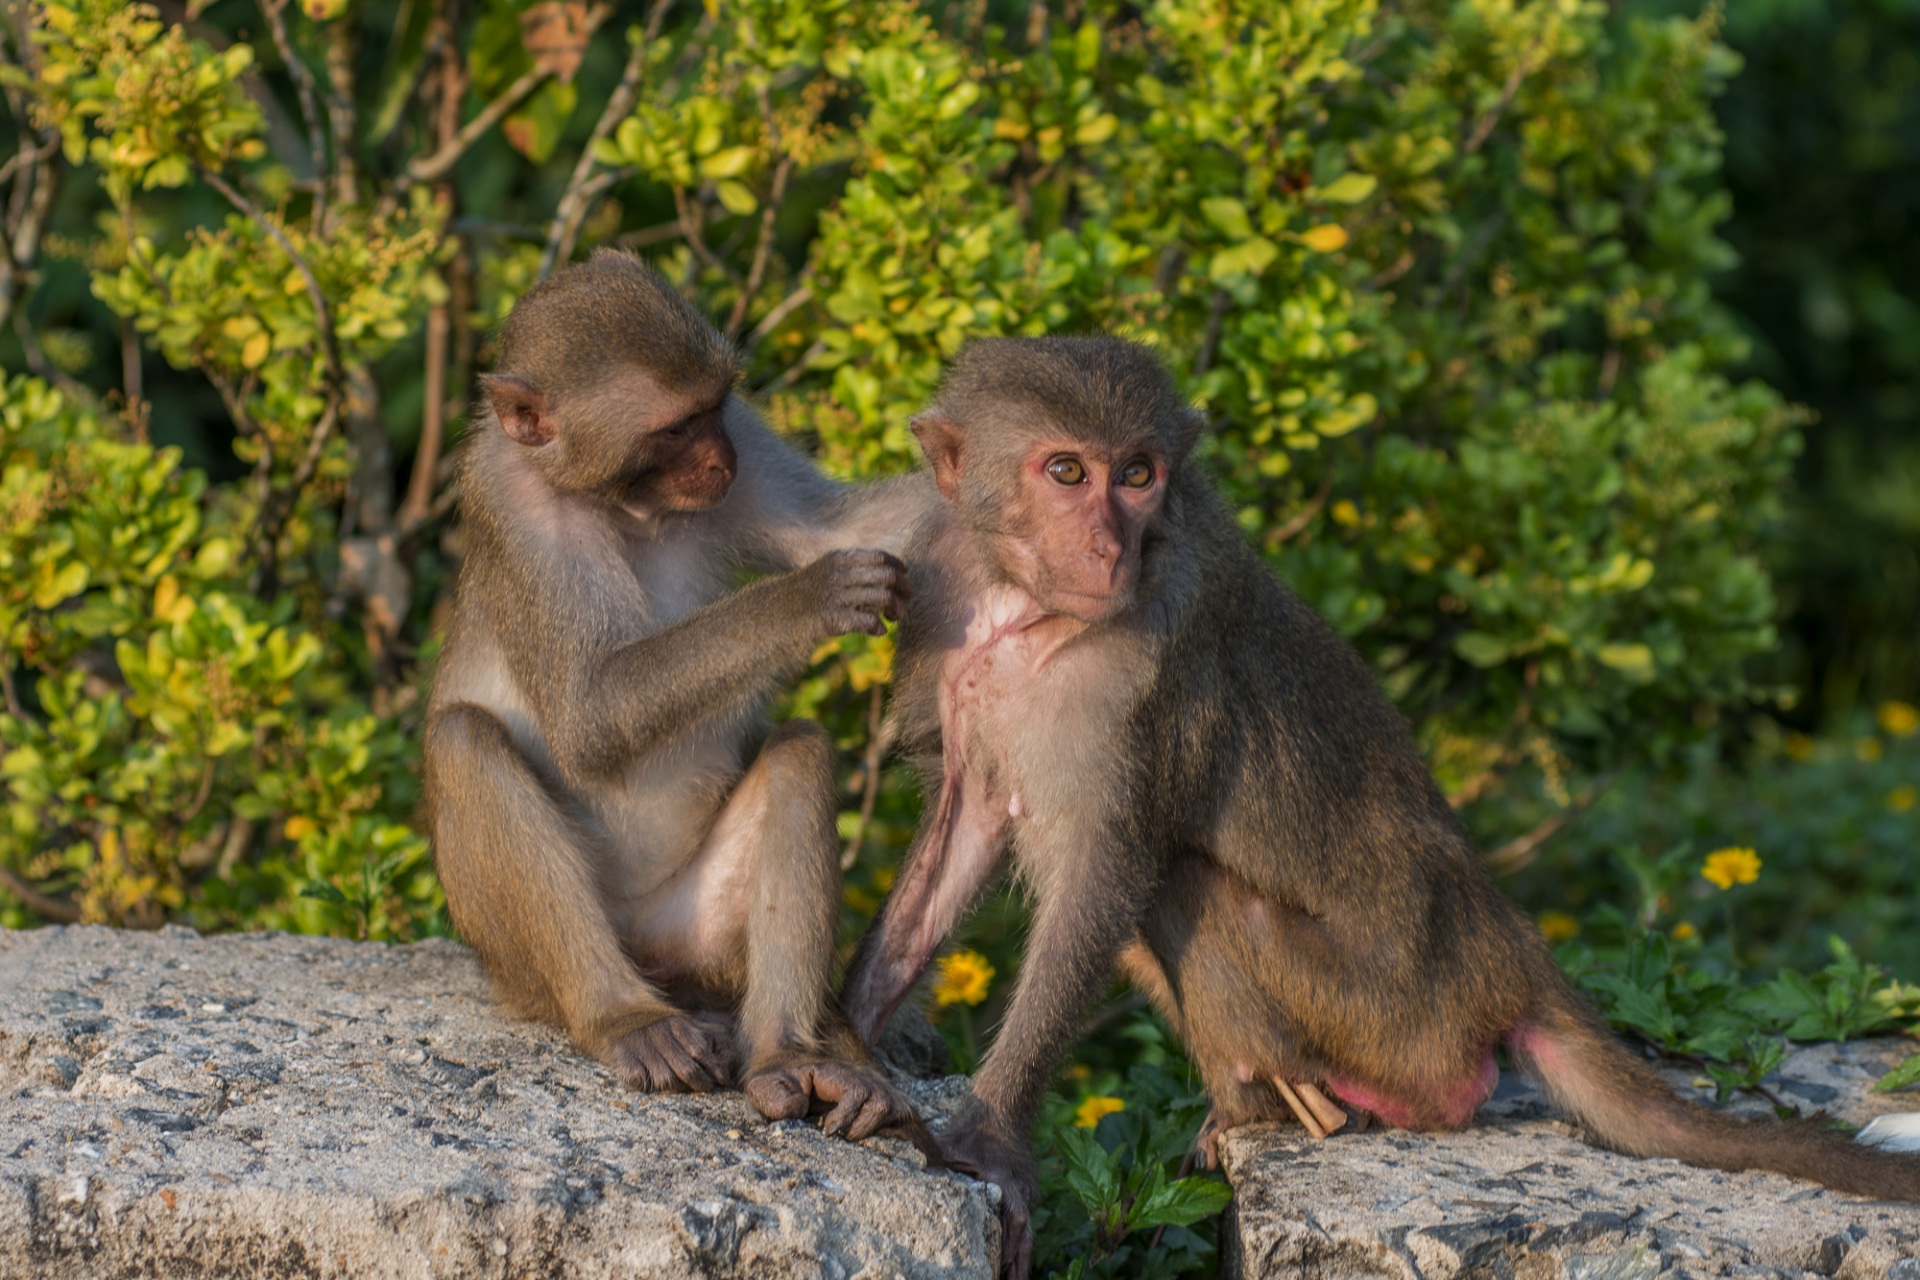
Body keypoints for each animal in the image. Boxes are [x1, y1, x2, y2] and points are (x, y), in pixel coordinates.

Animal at [424, 249, 940, 1143]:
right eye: (671, 430)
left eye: (714, 407)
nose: (720, 459)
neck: (623, 502)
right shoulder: (509, 502)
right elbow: (589, 717)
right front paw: (809, 597)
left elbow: (842, 526)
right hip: (523, 967)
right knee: (462, 739)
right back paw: (625, 1017)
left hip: (695, 928)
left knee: (800, 754)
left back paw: (788, 1054)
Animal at [844, 335, 1920, 1274]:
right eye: (1066, 471)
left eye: (1138, 474)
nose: (1110, 545)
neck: (1023, 607)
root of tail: (1510, 948)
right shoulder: (942, 609)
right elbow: (968, 828)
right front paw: (841, 1043)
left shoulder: (1139, 672)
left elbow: (1105, 873)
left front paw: (990, 1132)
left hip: (1392, 1008)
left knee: (1185, 885)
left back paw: (1301, 1111)